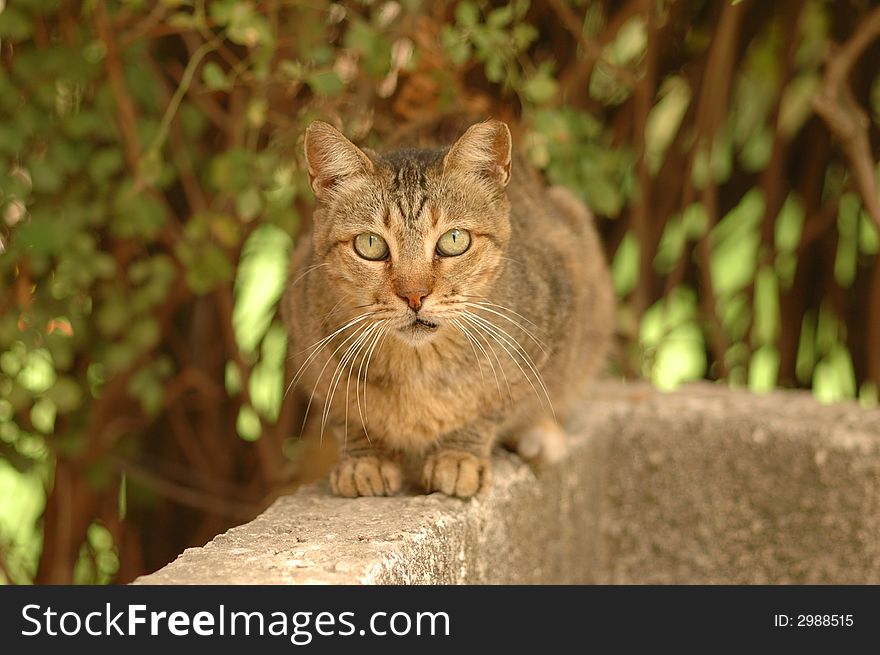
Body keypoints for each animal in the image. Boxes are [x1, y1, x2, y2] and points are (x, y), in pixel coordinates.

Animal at [282, 116, 612, 498]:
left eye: (454, 240)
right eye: (370, 244)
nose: (414, 295)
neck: (418, 368)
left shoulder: (545, 339)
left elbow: (491, 406)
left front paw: (459, 455)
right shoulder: (312, 357)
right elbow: (346, 414)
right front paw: (364, 458)